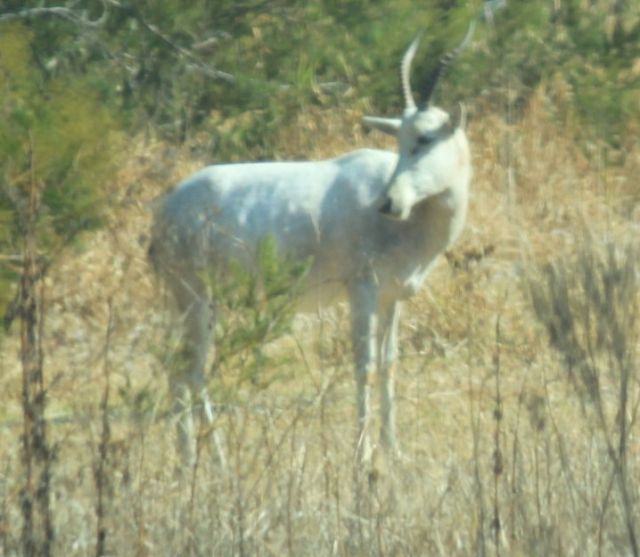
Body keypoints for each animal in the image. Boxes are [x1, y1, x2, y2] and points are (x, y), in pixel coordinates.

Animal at [150, 23, 476, 462]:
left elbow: (389, 364)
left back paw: (188, 460)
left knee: (177, 371)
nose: (388, 203)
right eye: (401, 139)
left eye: (425, 138)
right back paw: (217, 462)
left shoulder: (392, 298)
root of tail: (165, 212)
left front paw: (394, 450)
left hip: (186, 303)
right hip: (198, 298)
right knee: (195, 371)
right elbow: (364, 366)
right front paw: (363, 455)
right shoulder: (362, 292)